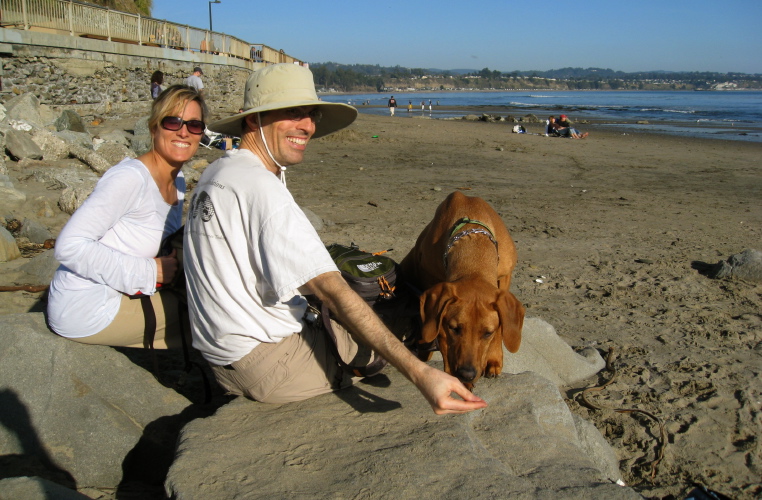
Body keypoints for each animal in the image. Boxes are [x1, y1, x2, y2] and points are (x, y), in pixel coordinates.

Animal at [398, 191, 524, 390]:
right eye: (454, 328)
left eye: (487, 333)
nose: (466, 373)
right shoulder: (434, 289)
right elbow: (440, 335)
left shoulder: (505, 277)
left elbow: (501, 327)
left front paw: (493, 359)